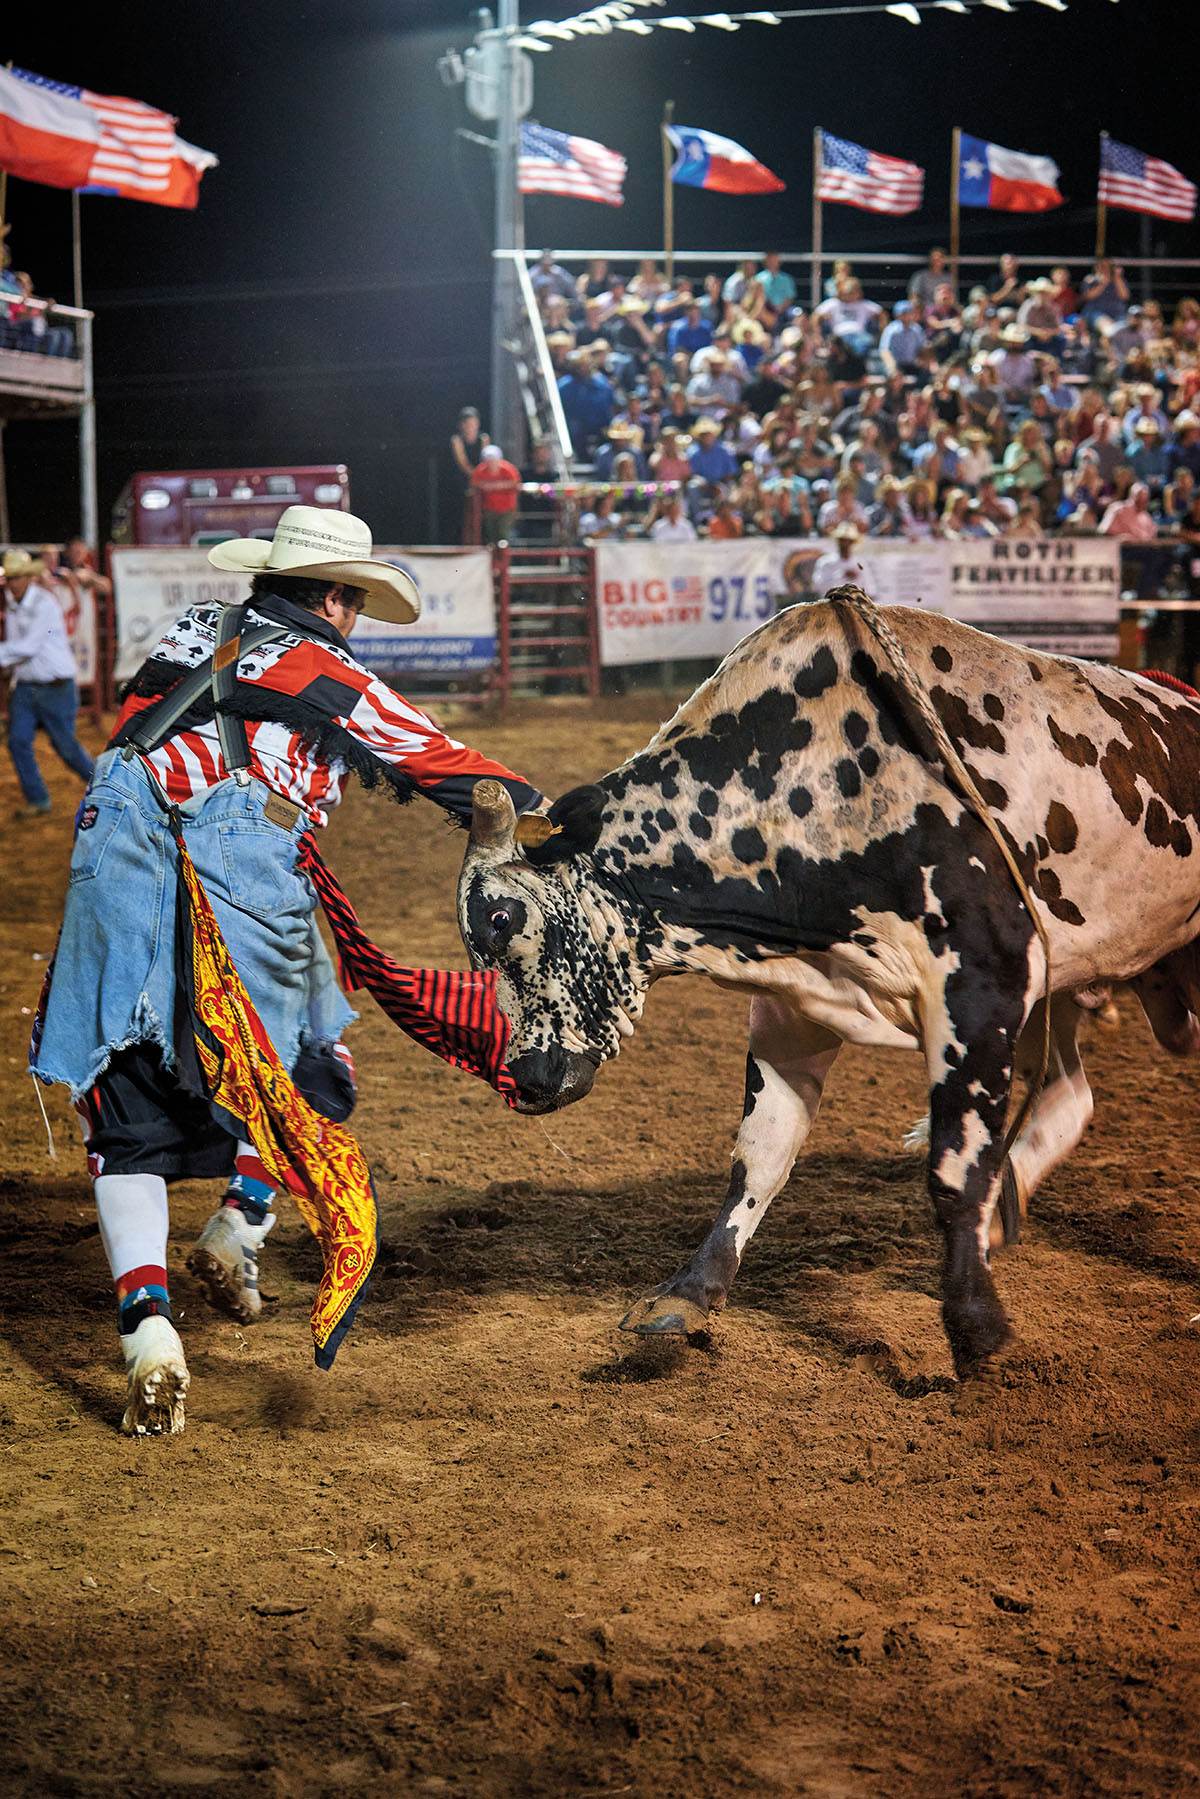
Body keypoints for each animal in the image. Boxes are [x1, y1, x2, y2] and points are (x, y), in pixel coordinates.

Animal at [456, 593, 1200, 1388]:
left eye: (503, 917)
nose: (524, 1079)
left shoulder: (982, 989)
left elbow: (956, 1167)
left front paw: (976, 1327)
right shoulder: (797, 1004)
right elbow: (761, 1150)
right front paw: (689, 1292)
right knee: (1068, 1096)